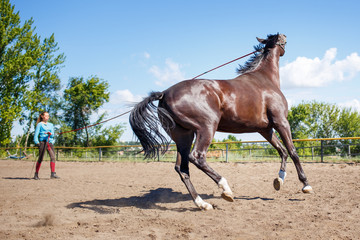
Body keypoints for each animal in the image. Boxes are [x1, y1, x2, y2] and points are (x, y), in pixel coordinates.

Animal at [129, 33, 312, 210]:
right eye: (283, 40)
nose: (285, 41)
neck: (265, 79)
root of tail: (164, 93)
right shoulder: (281, 122)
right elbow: (293, 151)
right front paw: (306, 185)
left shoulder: (265, 130)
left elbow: (282, 151)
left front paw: (279, 180)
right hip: (206, 128)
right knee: (197, 157)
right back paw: (226, 189)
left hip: (183, 136)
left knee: (182, 168)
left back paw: (202, 204)